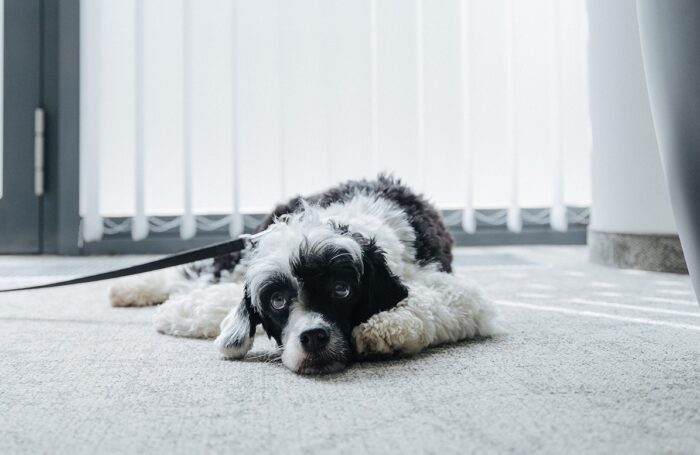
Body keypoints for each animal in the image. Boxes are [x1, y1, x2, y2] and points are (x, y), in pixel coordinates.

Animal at [106, 176, 494, 376]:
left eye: (341, 289)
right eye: (277, 301)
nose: (313, 338)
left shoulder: (460, 294)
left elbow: (433, 302)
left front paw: (387, 328)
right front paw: (181, 312)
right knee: (196, 273)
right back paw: (132, 287)